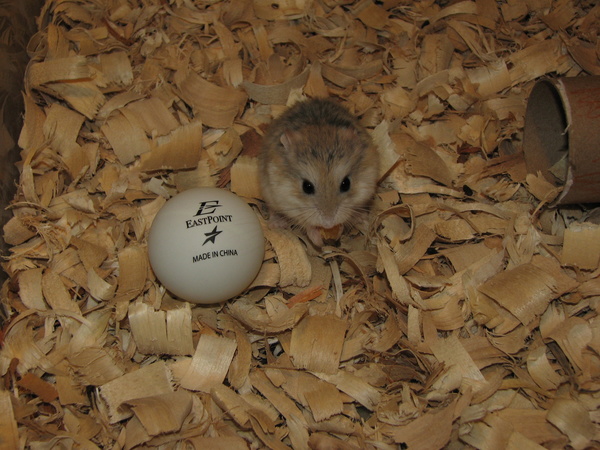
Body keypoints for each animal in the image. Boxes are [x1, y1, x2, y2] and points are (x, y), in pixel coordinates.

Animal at [258, 96, 380, 248]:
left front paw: (338, 230)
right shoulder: (287, 202)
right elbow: (306, 223)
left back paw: (361, 217)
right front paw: (318, 241)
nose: (329, 223)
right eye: (307, 187)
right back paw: (277, 224)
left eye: (346, 184)